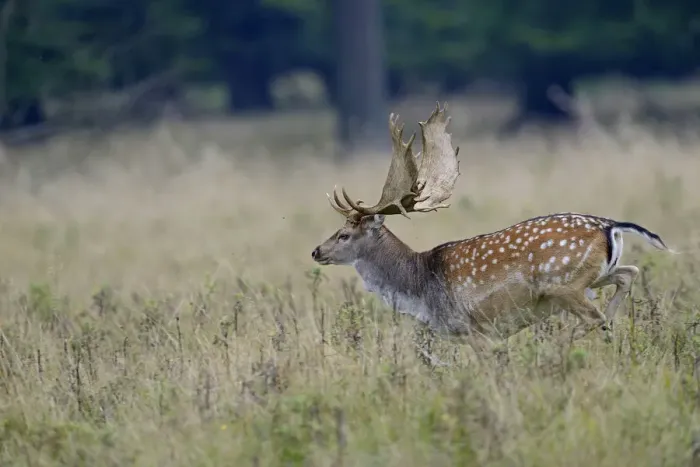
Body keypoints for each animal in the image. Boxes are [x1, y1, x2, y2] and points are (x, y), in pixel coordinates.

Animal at [311, 102, 672, 353]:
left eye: (344, 234)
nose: (316, 251)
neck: (422, 288)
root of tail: (610, 226)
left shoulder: (476, 330)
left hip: (564, 284)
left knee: (595, 314)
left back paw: (561, 345)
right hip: (592, 276)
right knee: (629, 273)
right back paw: (606, 331)